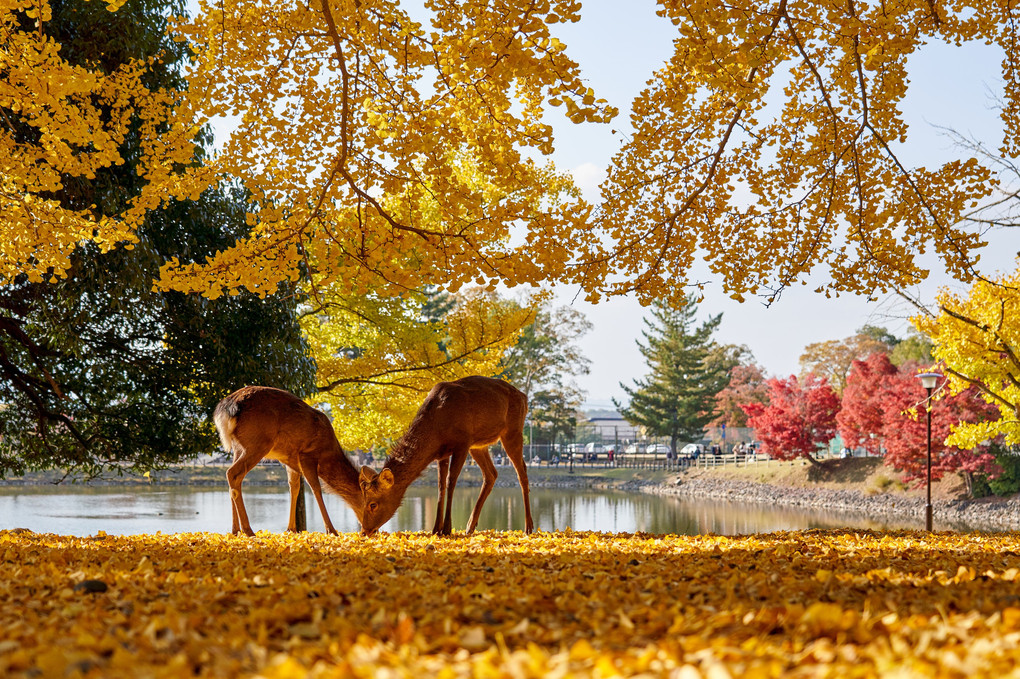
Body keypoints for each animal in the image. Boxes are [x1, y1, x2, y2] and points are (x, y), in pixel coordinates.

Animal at [211, 385, 363, 534]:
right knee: (233, 473)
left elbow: (294, 488)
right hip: (257, 442)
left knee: (232, 479)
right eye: (369, 504)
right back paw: (248, 530)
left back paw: (235, 530)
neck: (327, 453)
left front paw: (291, 529)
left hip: (238, 447)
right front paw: (331, 530)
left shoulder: (291, 460)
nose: (366, 531)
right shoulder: (307, 454)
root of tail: (227, 409)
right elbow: (316, 488)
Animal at [357, 375, 534, 534]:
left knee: (522, 472)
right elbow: (440, 485)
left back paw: (528, 527)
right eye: (362, 500)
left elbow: (451, 481)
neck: (436, 429)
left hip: (513, 431)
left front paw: (447, 528)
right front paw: (436, 529)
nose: (365, 531)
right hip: (478, 445)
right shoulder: (442, 453)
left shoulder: (462, 443)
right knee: (491, 474)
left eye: (373, 504)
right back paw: (470, 526)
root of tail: (524, 397)